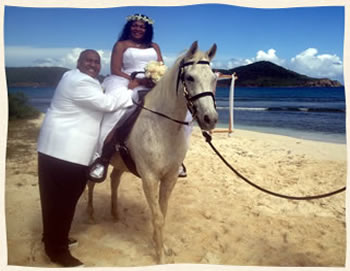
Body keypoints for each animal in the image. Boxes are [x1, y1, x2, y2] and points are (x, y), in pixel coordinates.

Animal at [87, 41, 217, 264]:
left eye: (214, 78)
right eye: (190, 78)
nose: (210, 119)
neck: (162, 127)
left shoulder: (169, 178)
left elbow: (162, 214)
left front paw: (162, 247)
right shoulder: (149, 178)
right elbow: (157, 217)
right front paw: (160, 257)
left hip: (121, 163)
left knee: (114, 180)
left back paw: (114, 214)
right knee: (90, 183)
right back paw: (91, 214)